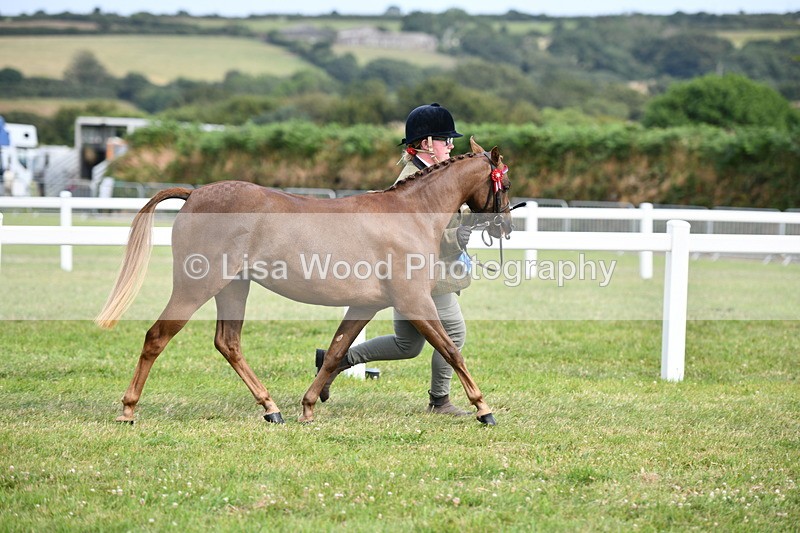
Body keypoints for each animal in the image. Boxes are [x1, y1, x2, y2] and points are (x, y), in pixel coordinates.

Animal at [96, 137, 513, 426]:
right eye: (505, 186)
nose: (506, 227)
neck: (410, 214)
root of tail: (195, 193)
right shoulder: (415, 303)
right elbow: (451, 351)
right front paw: (484, 409)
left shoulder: (367, 303)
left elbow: (336, 352)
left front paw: (309, 406)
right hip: (196, 286)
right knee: (157, 336)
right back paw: (128, 410)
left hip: (233, 288)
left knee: (228, 343)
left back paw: (271, 409)